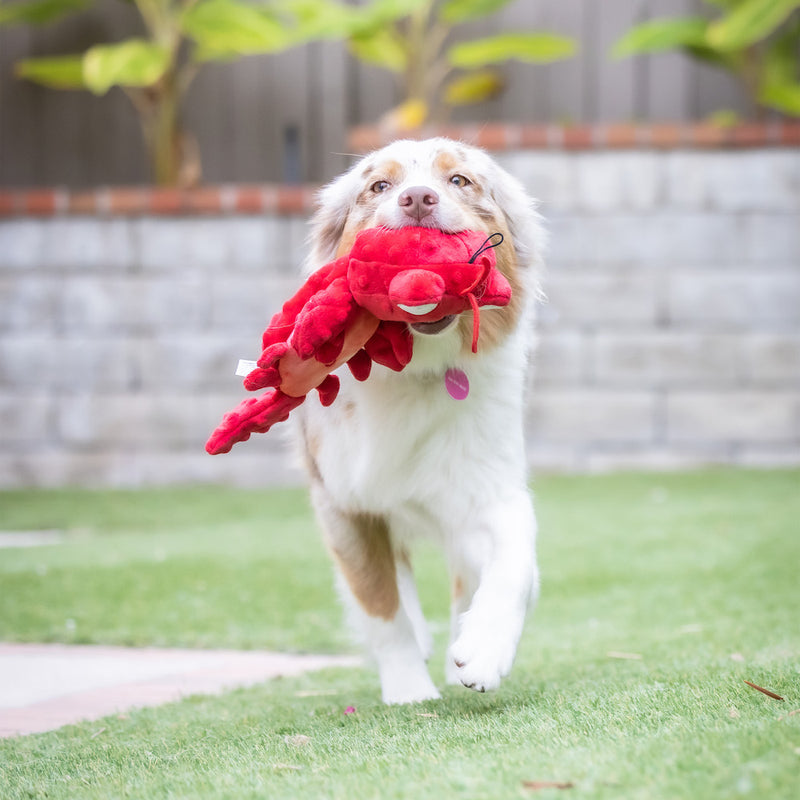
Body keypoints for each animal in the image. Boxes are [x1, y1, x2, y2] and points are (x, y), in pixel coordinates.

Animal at [294, 139, 544, 708]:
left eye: (459, 181)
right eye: (379, 186)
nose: (417, 198)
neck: (418, 369)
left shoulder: (488, 484)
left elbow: (517, 556)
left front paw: (484, 651)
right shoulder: (342, 502)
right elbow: (381, 605)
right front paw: (409, 690)